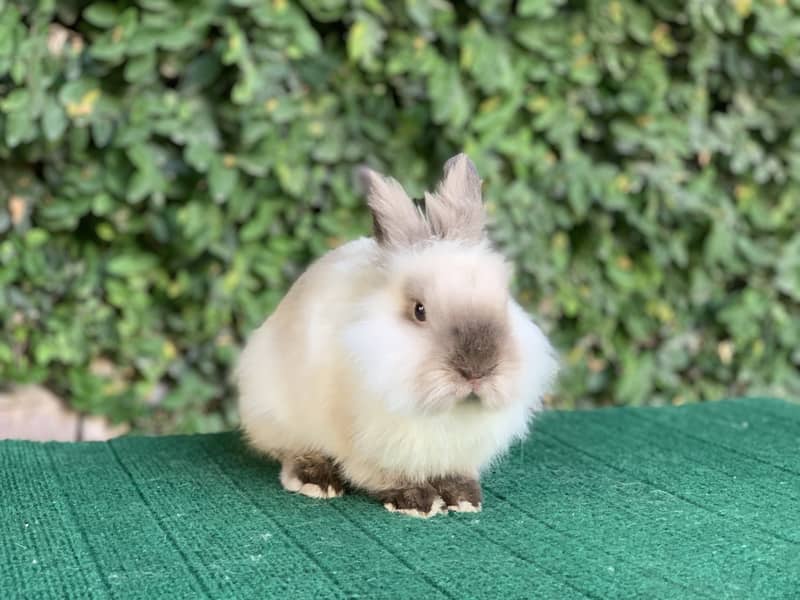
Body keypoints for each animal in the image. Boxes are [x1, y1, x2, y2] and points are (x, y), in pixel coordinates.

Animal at [234, 152, 560, 516]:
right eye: (419, 310)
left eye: (504, 299)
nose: (477, 370)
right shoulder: (367, 441)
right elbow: (385, 474)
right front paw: (416, 501)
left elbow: (454, 473)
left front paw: (463, 497)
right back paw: (316, 481)